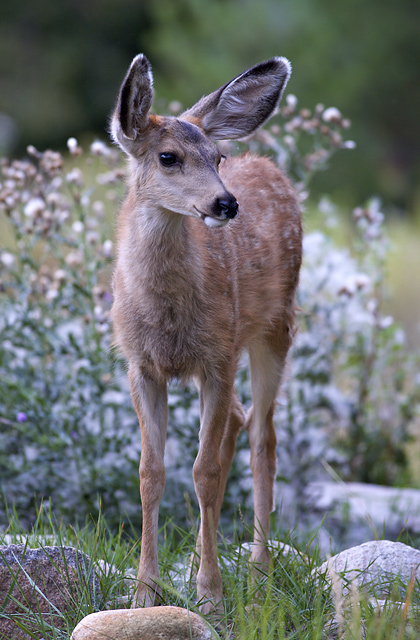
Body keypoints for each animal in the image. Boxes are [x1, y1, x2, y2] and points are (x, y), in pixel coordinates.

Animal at [110, 53, 302, 615]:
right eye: (168, 157)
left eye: (217, 156)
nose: (225, 203)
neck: (168, 316)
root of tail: (268, 165)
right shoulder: (141, 365)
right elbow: (151, 472)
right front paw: (145, 592)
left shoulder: (218, 357)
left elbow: (206, 472)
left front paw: (212, 594)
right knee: (240, 421)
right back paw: (200, 557)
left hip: (274, 328)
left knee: (263, 436)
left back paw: (258, 572)